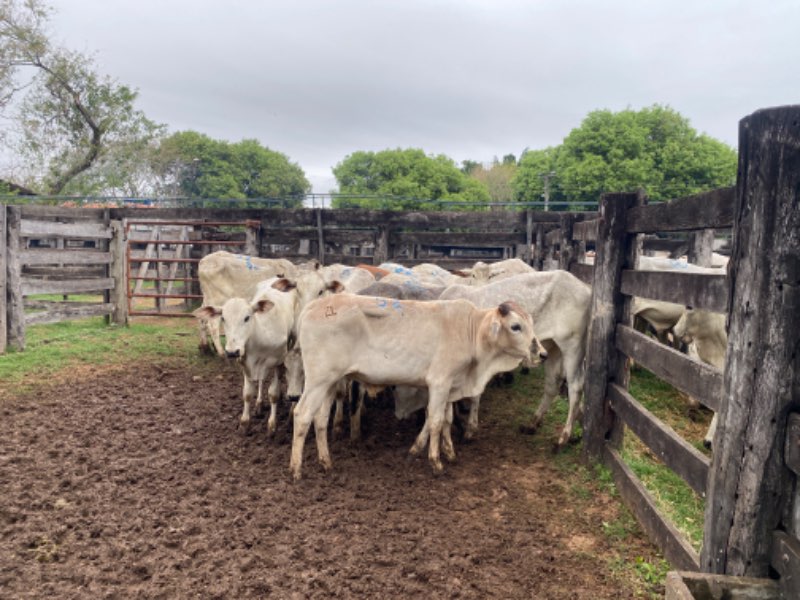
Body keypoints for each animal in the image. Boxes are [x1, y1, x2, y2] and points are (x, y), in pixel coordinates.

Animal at [289, 295, 543, 479]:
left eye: (531, 324)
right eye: (516, 326)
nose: (540, 352)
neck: (472, 332)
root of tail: (311, 307)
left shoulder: (450, 386)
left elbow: (444, 419)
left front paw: (446, 452)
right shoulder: (440, 382)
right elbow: (436, 421)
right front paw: (436, 462)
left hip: (330, 383)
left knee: (320, 419)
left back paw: (326, 463)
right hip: (318, 380)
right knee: (302, 414)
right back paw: (296, 469)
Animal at [439, 270, 591, 446]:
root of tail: (585, 288)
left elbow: (474, 395)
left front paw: (469, 429)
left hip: (573, 347)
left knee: (576, 387)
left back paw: (564, 435)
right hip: (553, 349)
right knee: (552, 385)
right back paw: (534, 423)